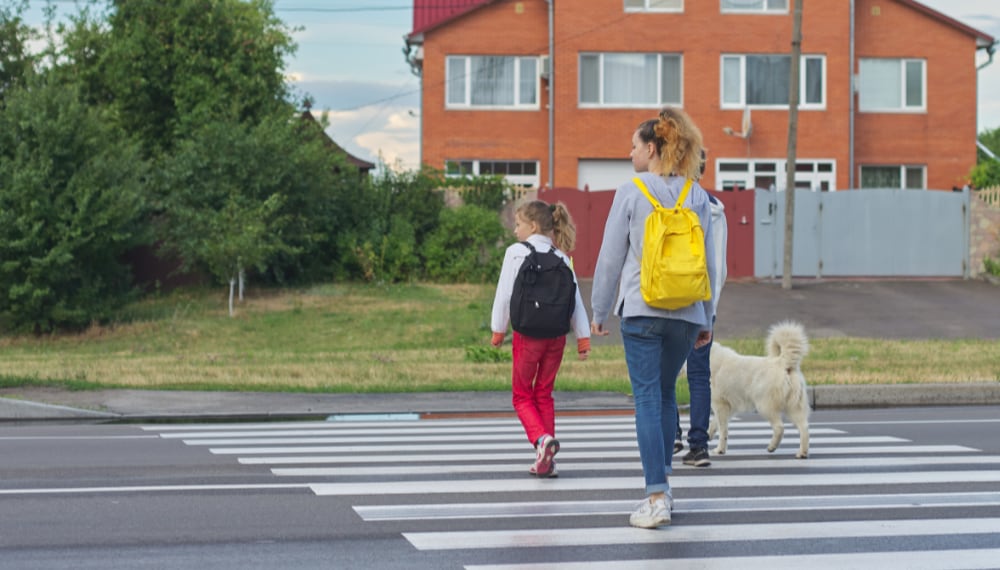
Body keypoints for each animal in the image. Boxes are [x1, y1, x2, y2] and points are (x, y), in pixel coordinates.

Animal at [704, 320, 812, 458]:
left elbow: (723, 430)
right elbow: (714, 424)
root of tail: (782, 362)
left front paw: (720, 450)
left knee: (779, 427)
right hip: (793, 407)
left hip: (764, 406)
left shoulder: (720, 405)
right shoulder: (729, 408)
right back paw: (802, 453)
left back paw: (772, 447)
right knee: (804, 428)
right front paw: (707, 436)